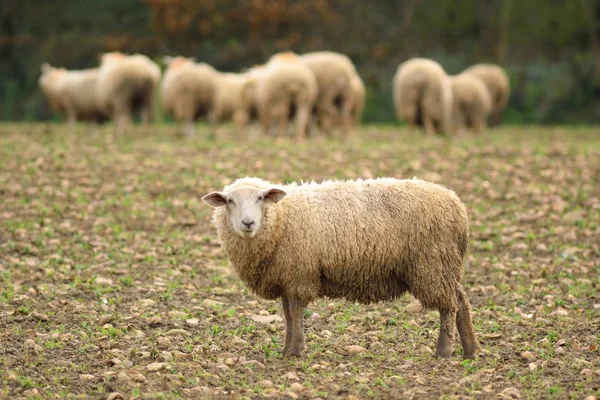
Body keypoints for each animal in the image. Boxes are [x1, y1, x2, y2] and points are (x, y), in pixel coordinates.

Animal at [204, 176, 480, 360]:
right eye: (230, 201)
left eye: (260, 198)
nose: (248, 222)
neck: (280, 219)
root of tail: (456, 204)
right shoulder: (287, 277)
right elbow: (287, 315)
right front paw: (286, 349)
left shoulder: (300, 273)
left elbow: (295, 313)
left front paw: (296, 351)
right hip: (444, 266)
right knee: (462, 302)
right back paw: (470, 351)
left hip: (433, 264)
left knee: (448, 307)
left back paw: (443, 352)